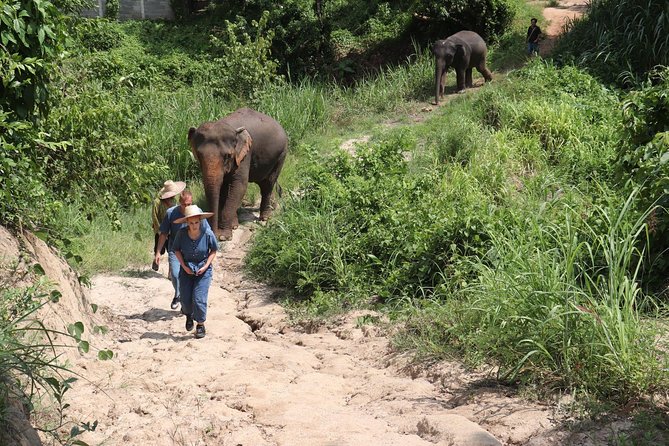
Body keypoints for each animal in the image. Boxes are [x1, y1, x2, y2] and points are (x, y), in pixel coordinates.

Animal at [188, 107, 288, 241]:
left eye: (228, 156)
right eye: (199, 155)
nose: (214, 234)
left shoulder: (244, 155)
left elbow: (238, 186)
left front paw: (223, 236)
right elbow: (224, 189)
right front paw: (234, 226)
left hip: (281, 155)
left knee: (268, 183)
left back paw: (265, 217)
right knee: (263, 182)